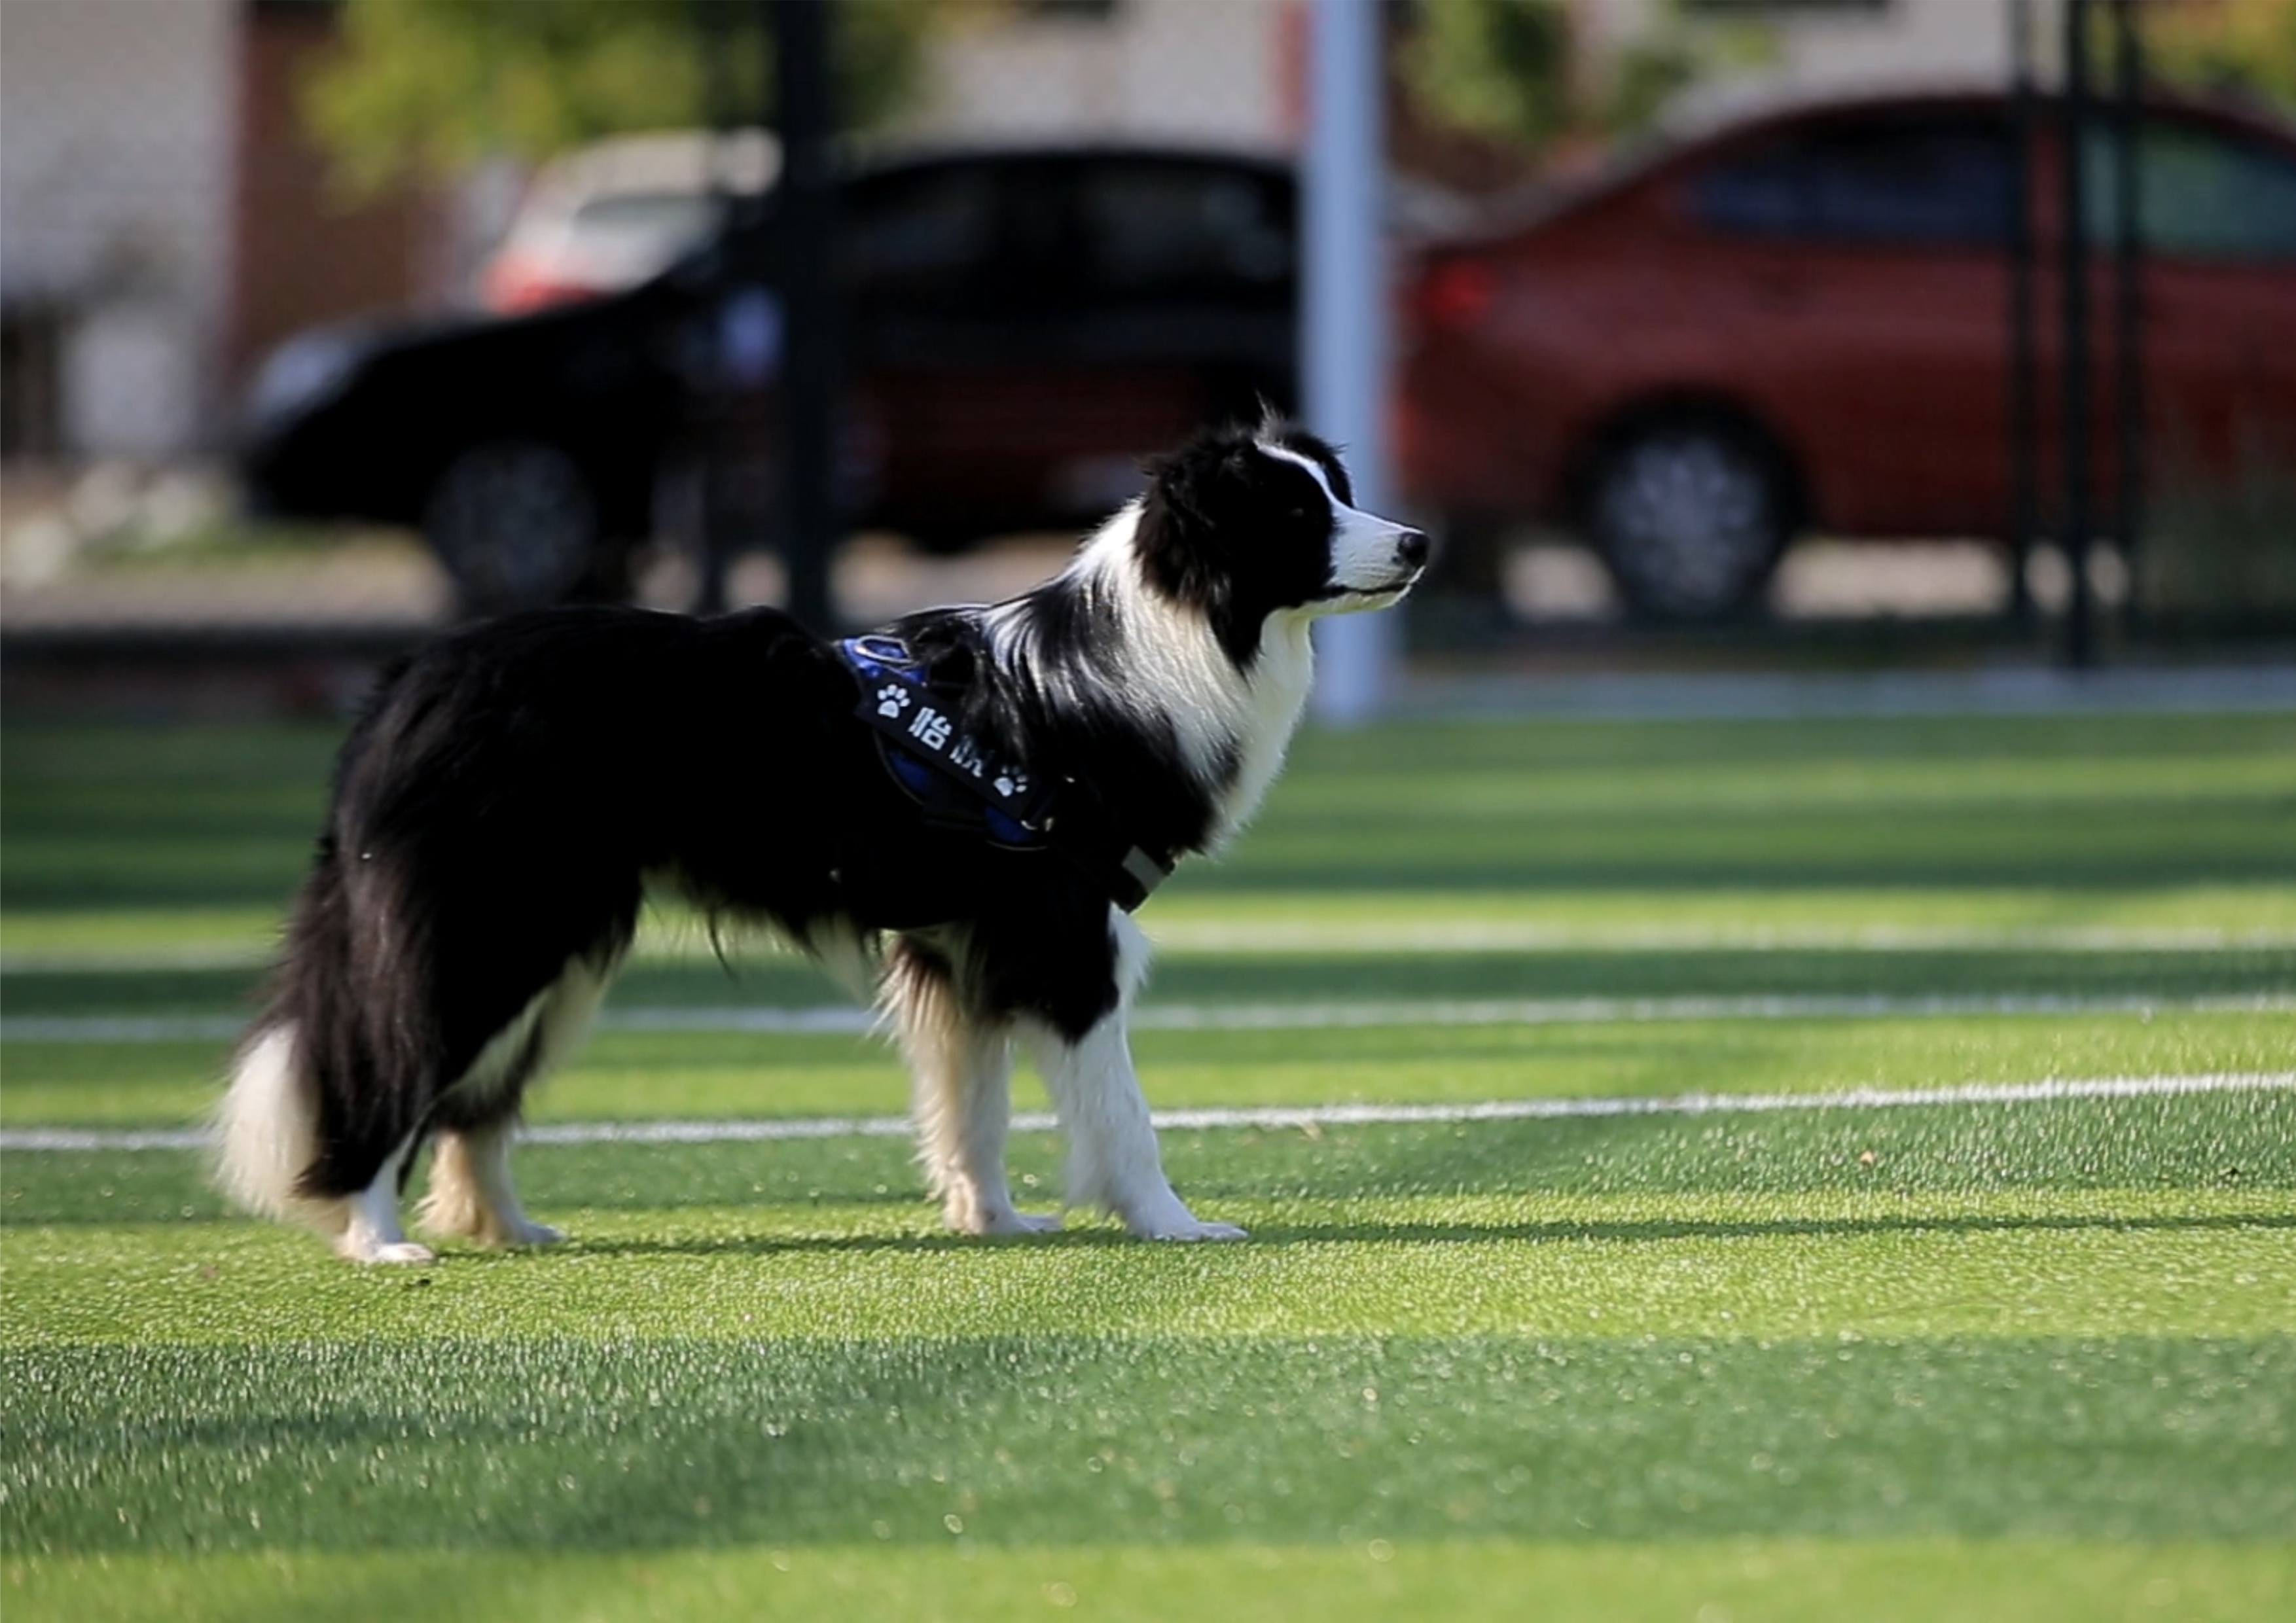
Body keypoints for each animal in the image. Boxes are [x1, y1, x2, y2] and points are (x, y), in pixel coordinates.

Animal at [224, 419, 1423, 1258]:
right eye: (1292, 513)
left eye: (1334, 489)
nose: (1419, 540)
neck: (1158, 640)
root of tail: (402, 687)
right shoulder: (1063, 938)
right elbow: (1121, 1112)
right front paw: (1174, 1224)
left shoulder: (963, 946)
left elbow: (973, 1108)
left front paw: (993, 1222)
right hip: (488, 931)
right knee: (391, 1070)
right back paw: (379, 1241)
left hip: (557, 951)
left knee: (476, 1106)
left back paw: (508, 1230)